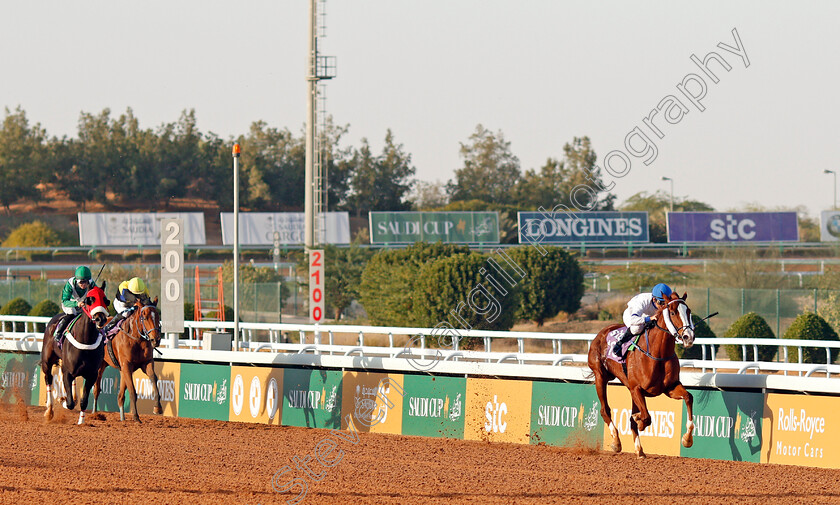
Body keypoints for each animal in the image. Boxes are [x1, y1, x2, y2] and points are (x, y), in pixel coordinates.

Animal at [39, 282, 110, 424]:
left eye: (105, 300)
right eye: (89, 300)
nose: (100, 319)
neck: (86, 340)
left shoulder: (92, 375)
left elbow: (83, 401)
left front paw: (81, 423)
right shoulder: (67, 372)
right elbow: (70, 403)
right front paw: (62, 399)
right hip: (47, 361)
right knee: (48, 378)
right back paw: (49, 411)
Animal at [584, 290, 696, 458]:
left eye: (688, 311)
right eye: (672, 312)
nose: (689, 337)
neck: (658, 353)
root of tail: (602, 332)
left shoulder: (669, 387)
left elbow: (689, 397)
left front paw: (687, 439)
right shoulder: (637, 388)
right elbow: (646, 417)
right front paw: (639, 420)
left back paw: (639, 450)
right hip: (601, 376)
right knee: (605, 410)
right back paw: (616, 441)